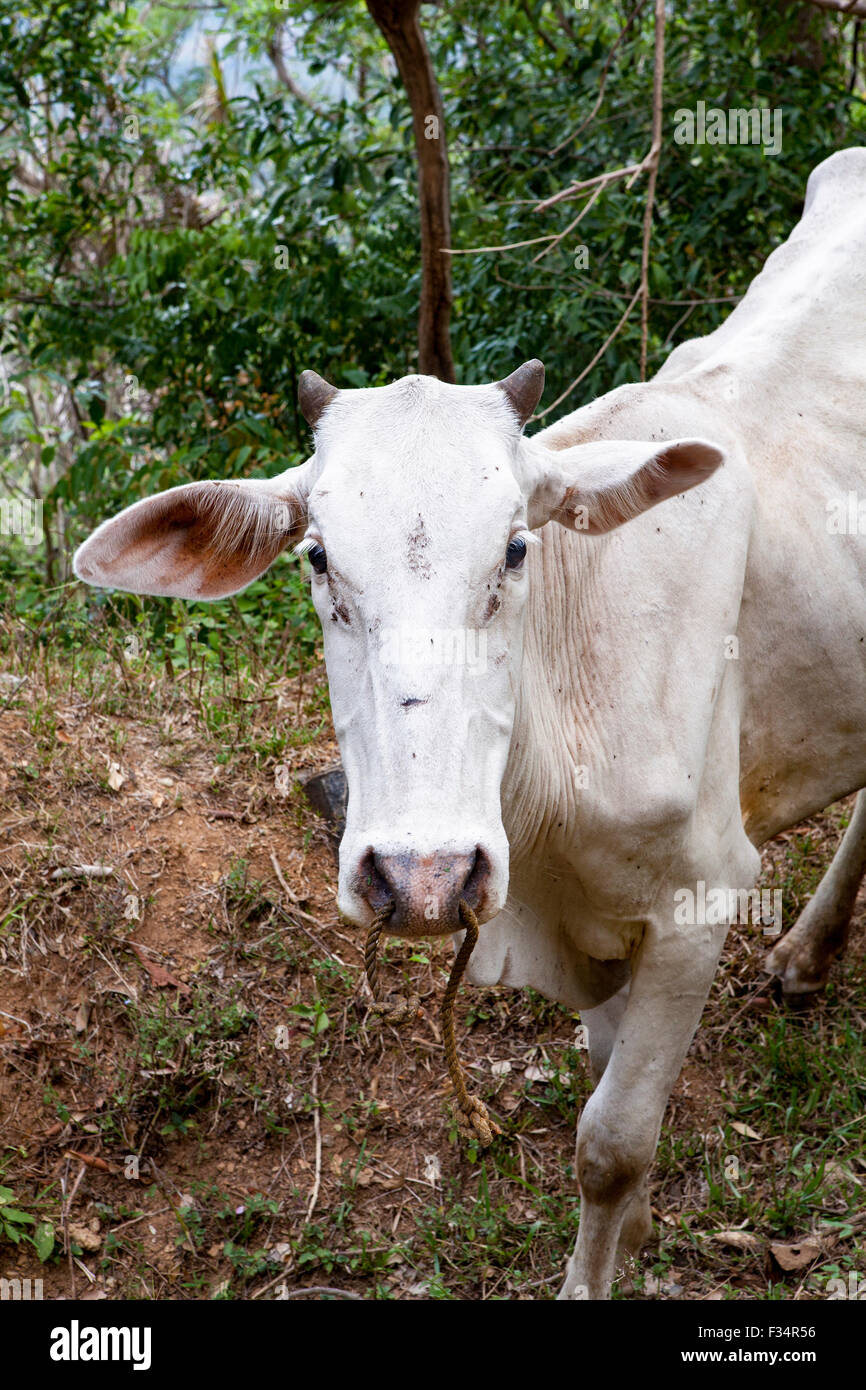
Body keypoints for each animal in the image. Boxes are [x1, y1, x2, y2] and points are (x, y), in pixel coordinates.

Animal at [74, 152, 866, 1301]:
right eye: (317, 558)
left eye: (515, 547)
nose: (422, 877)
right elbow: (604, 1092)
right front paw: (631, 1238)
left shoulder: (699, 899)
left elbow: (610, 1140)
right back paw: (809, 953)